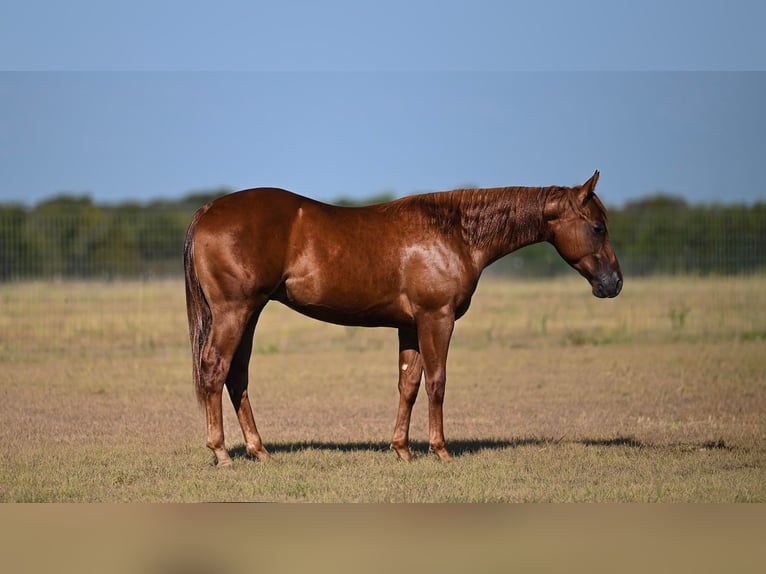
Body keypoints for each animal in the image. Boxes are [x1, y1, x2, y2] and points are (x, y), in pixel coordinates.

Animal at [184, 170, 622, 466]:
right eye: (597, 227)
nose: (614, 283)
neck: (454, 233)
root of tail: (208, 210)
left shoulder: (409, 326)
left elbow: (408, 384)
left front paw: (403, 450)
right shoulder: (436, 318)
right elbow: (437, 382)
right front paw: (441, 451)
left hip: (251, 312)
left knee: (237, 375)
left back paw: (259, 450)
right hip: (234, 311)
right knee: (215, 368)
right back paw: (222, 453)